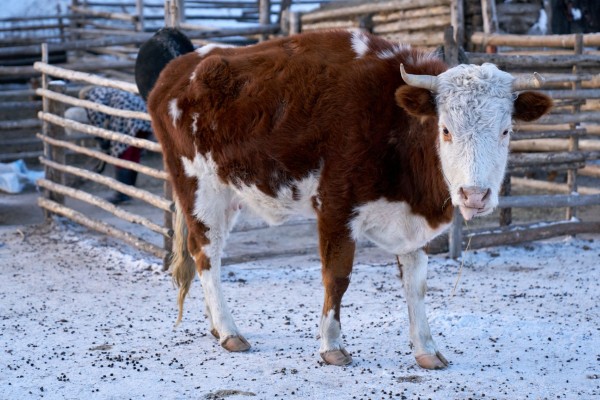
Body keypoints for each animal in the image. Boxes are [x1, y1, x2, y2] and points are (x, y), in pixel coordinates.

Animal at [137, 28, 552, 368]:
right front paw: (332, 346)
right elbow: (337, 277)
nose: (474, 194)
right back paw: (228, 331)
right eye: (445, 129)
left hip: (227, 193)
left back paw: (214, 326)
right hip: (200, 187)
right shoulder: (336, 207)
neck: (393, 123)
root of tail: (180, 67)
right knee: (207, 254)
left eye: (506, 130)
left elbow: (416, 283)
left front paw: (427, 349)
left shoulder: (409, 222)